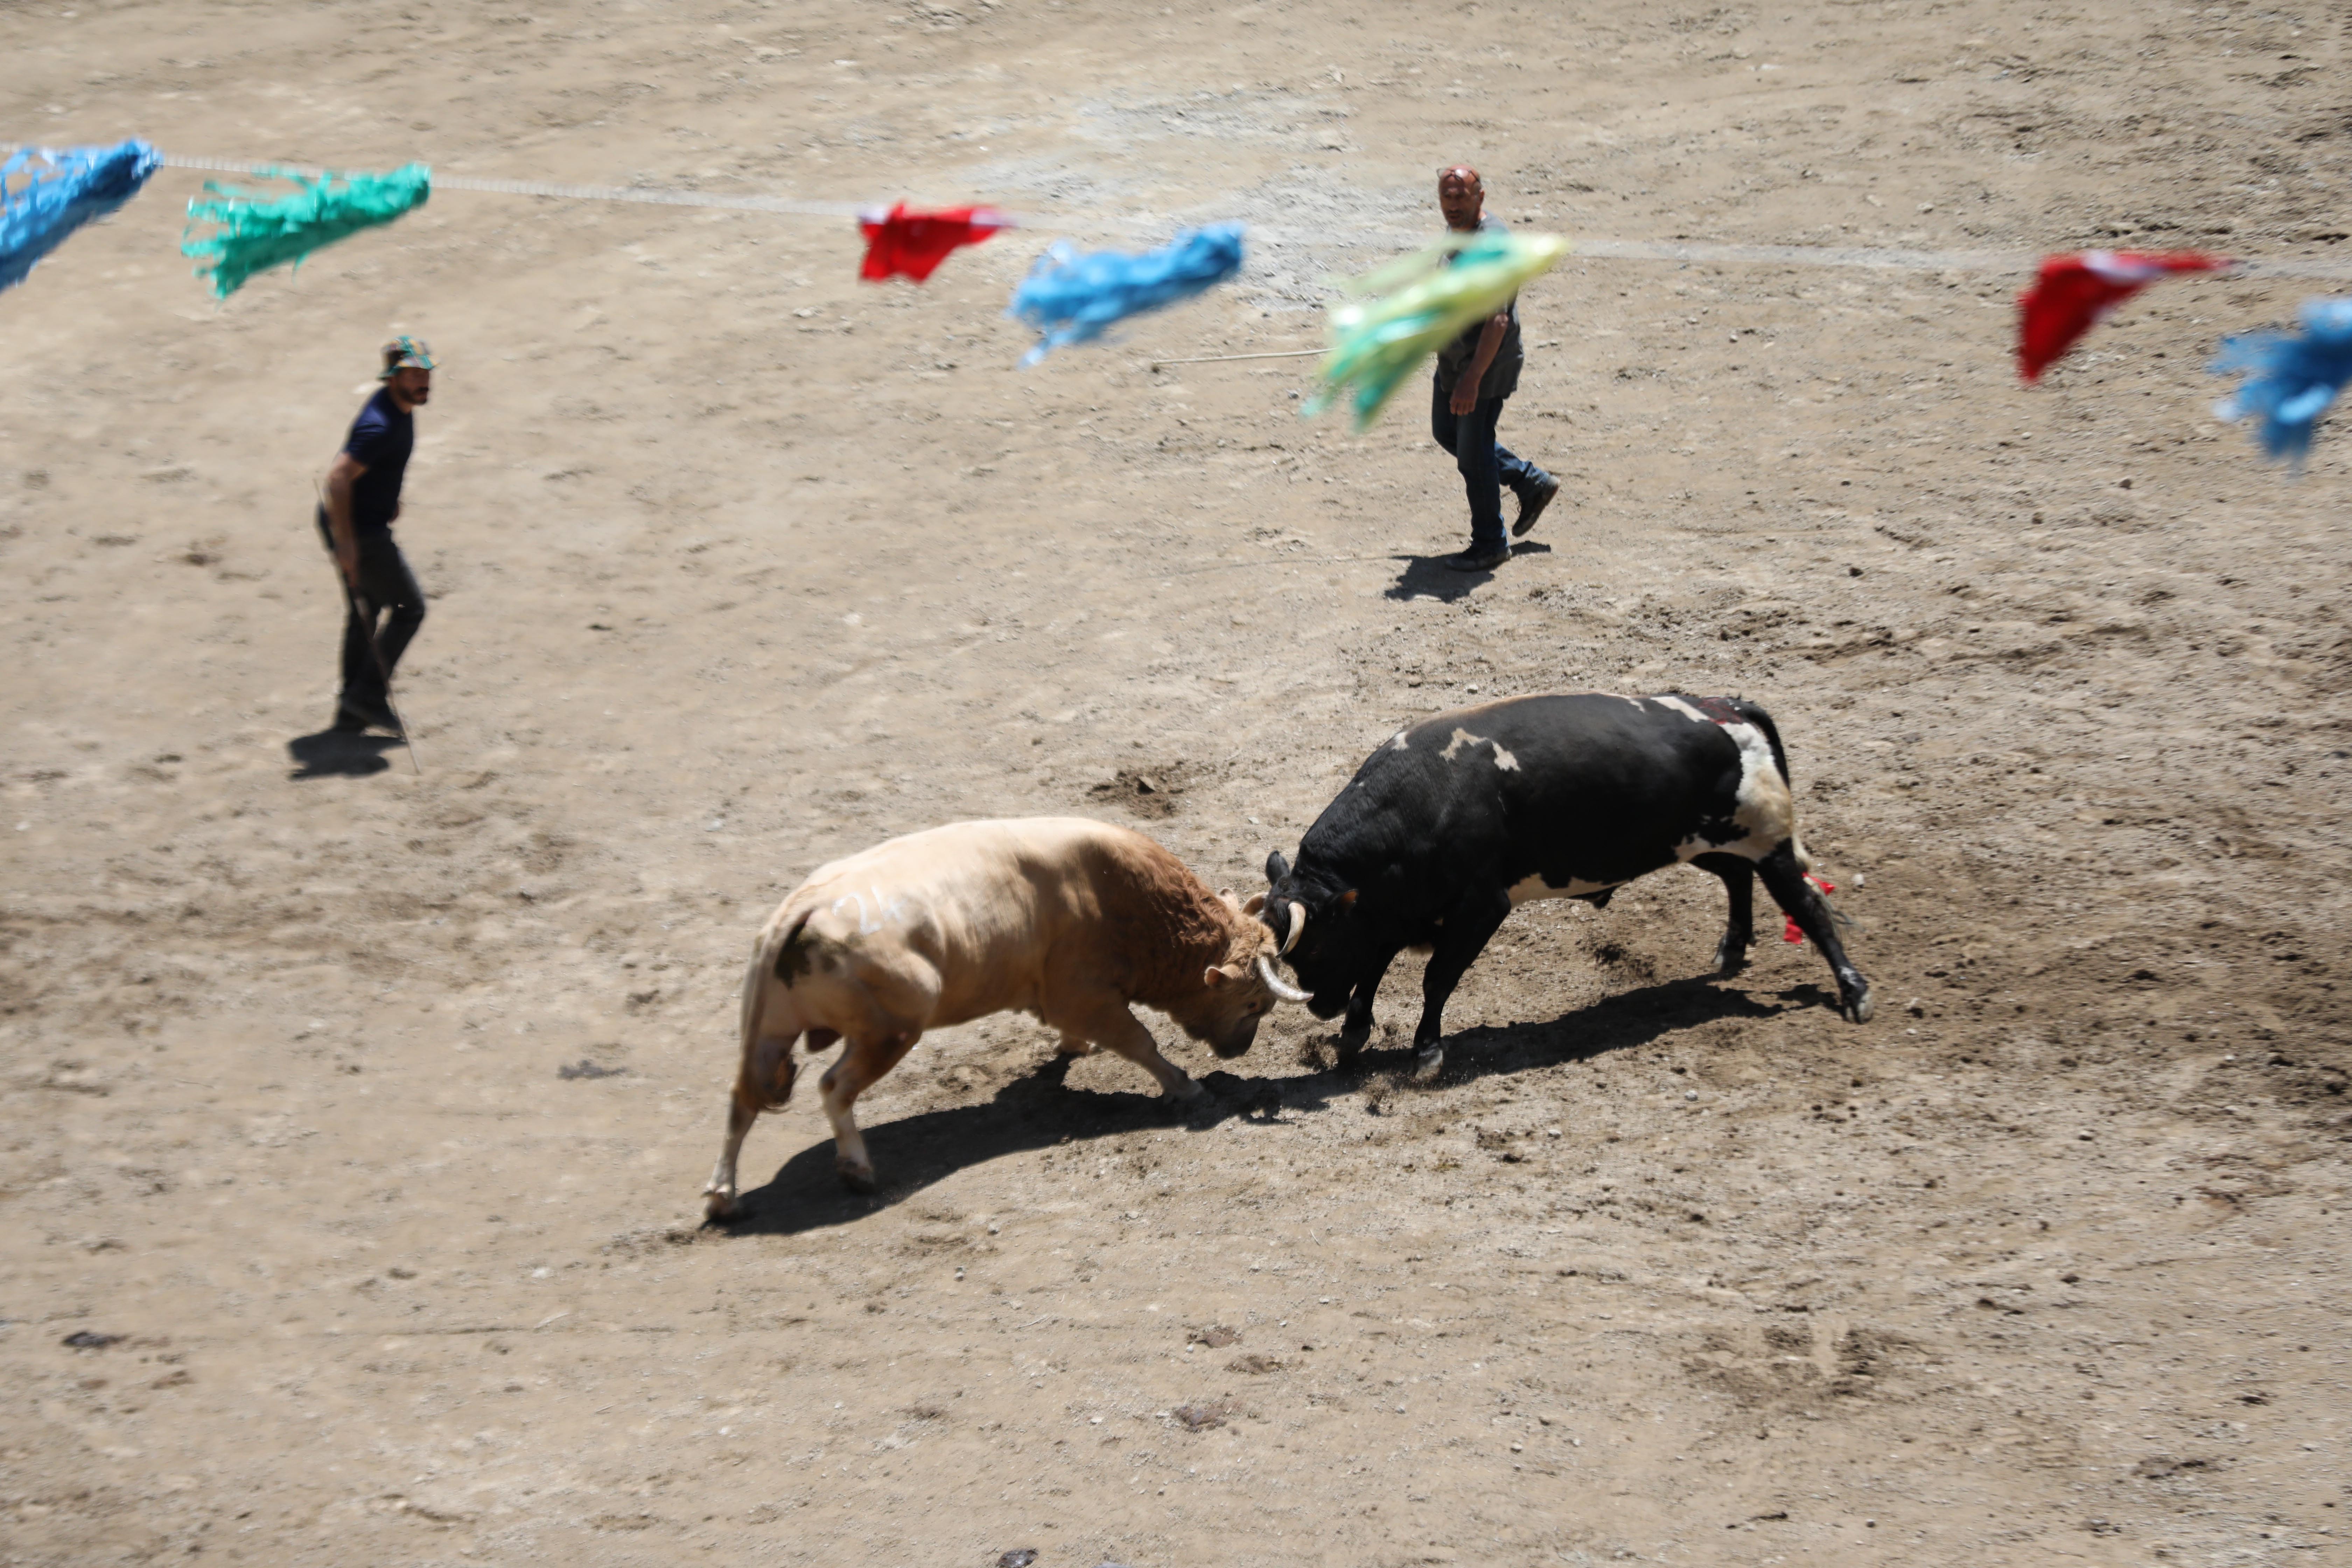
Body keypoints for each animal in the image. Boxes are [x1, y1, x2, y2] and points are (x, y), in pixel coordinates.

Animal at [705, 818, 1317, 1222]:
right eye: (1254, 1005)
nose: (1239, 1052)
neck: (1124, 898)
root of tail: (804, 906)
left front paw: (1076, 1051)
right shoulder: (1084, 995)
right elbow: (1140, 1042)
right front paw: (1186, 1087)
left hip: (769, 1031)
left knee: (740, 1103)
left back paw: (723, 1195)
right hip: (889, 1031)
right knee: (834, 1088)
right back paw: (857, 1169)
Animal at [1260, 696, 1882, 1081]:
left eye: (1314, 948)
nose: (1319, 1008)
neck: (1423, 802)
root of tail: (1728, 709)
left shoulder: (1480, 909)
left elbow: (1435, 980)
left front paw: (1427, 1051)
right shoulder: (1396, 914)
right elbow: (1374, 967)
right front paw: (1353, 1032)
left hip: (1768, 843)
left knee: (1808, 906)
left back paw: (1853, 991)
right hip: (1698, 841)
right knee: (1736, 877)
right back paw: (1732, 950)